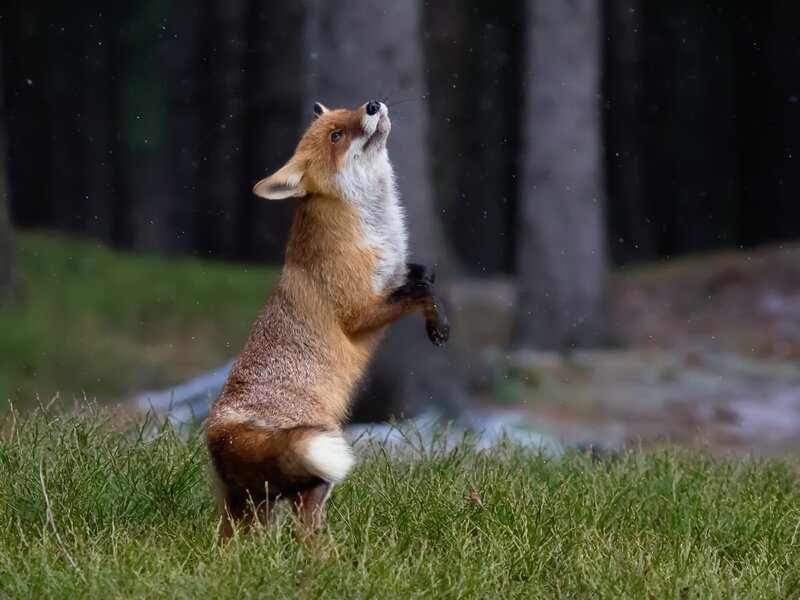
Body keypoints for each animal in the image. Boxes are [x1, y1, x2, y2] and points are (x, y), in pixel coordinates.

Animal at [205, 100, 449, 538]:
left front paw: (437, 320)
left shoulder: (394, 276)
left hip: (249, 503)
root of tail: (220, 427)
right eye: (336, 136)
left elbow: (424, 275)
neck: (373, 229)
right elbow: (423, 289)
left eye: (349, 111)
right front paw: (440, 327)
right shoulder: (359, 312)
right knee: (306, 526)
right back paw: (329, 555)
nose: (373, 104)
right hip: (319, 457)